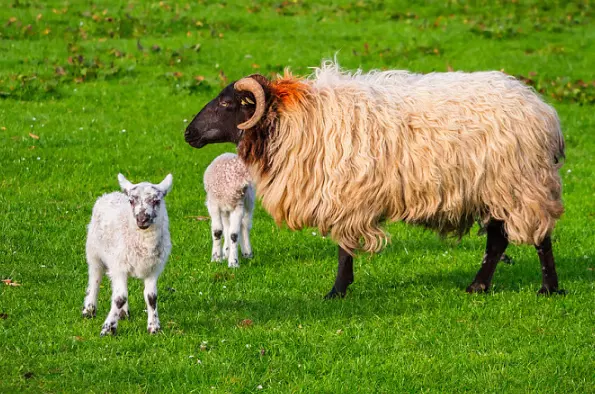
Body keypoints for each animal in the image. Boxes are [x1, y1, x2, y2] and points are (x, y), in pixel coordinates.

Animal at [81, 174, 172, 338]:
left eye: (156, 201)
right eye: (131, 201)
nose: (142, 219)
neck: (145, 244)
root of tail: (111, 194)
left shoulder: (153, 269)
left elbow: (151, 297)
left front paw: (154, 327)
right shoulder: (119, 267)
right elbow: (120, 298)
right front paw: (108, 328)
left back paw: (123, 313)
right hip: (94, 252)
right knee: (95, 279)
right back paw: (89, 310)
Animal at [184, 62, 564, 298]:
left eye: (227, 103)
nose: (188, 133)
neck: (293, 120)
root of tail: (545, 112)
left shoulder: (345, 196)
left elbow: (343, 249)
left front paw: (337, 291)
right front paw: (340, 289)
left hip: (522, 183)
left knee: (539, 237)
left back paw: (549, 288)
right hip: (496, 189)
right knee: (498, 241)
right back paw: (478, 287)